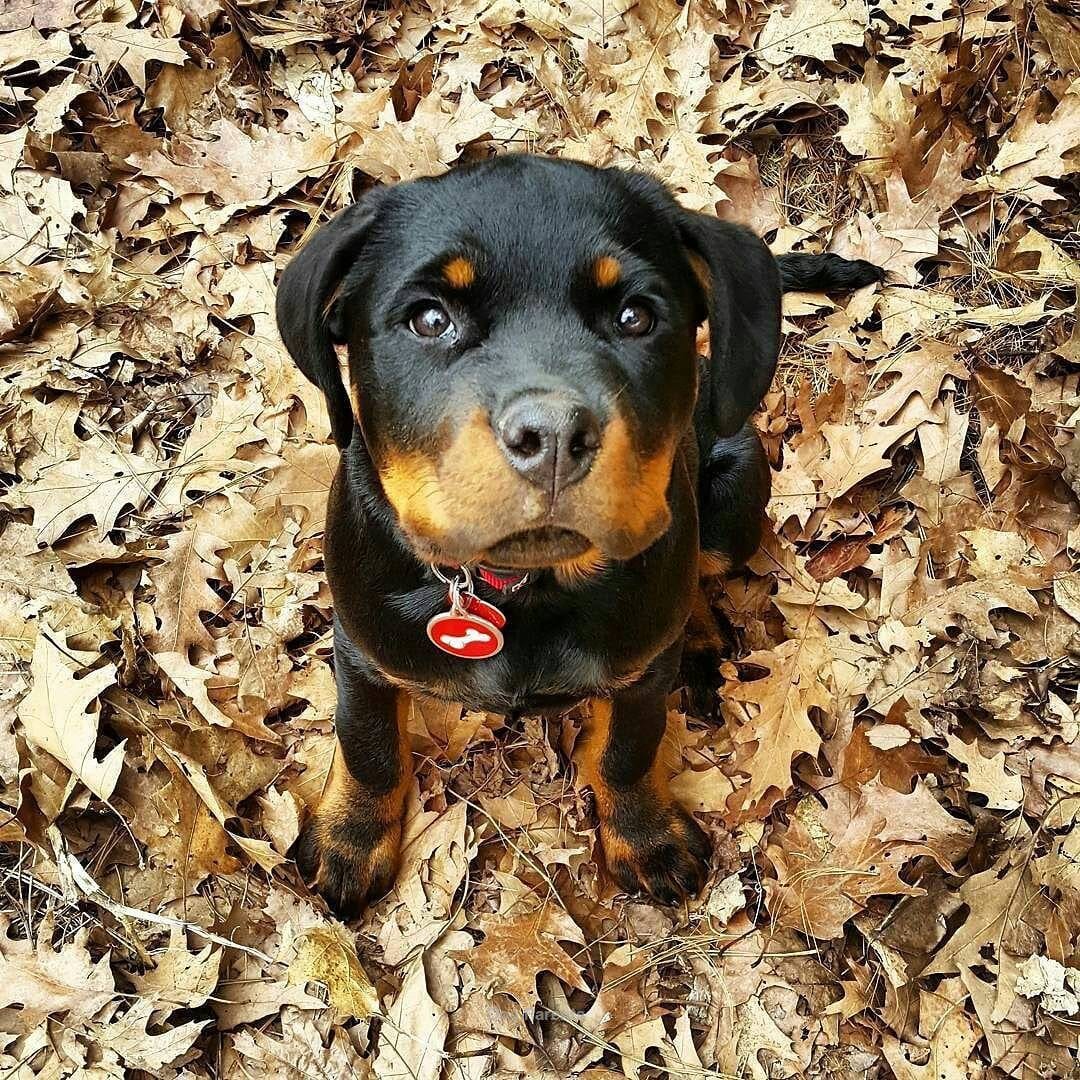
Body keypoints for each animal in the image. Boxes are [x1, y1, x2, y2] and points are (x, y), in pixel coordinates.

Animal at [274, 152, 881, 911]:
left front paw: (646, 840)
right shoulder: (362, 646)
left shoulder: (639, 674)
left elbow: (626, 752)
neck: (524, 590)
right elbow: (369, 748)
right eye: (429, 318)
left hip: (740, 494)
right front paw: (349, 842)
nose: (555, 436)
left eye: (636, 316)